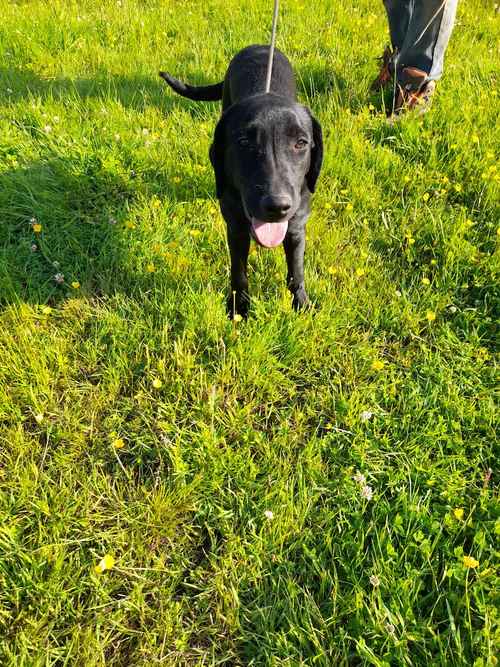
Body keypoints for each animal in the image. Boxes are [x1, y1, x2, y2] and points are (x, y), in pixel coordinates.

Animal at [160, 45, 324, 320]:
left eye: (301, 143)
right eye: (244, 142)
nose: (277, 206)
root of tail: (259, 45)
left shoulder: (296, 227)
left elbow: (297, 271)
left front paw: (300, 303)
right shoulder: (235, 226)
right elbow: (239, 272)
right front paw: (239, 309)